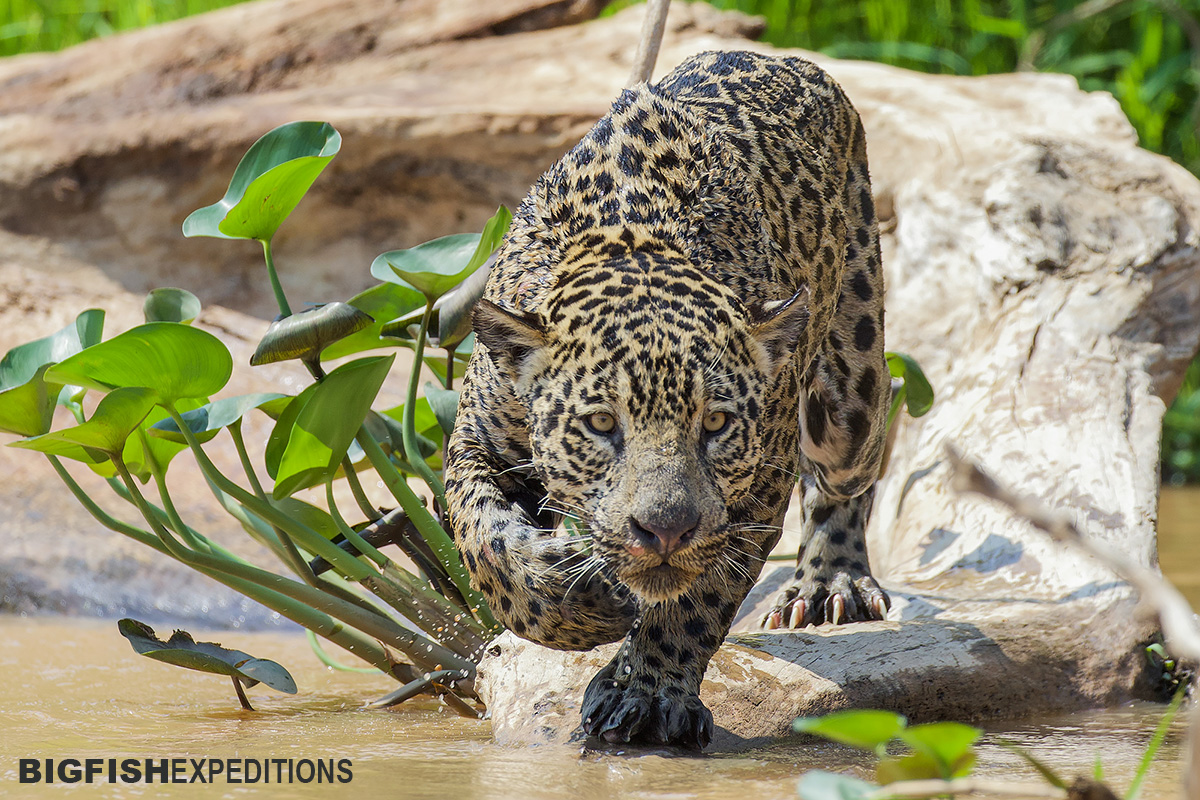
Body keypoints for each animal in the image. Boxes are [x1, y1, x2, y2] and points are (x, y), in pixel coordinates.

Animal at [444, 50, 891, 750]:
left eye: (716, 423)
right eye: (602, 423)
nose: (664, 531)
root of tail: (786, 58)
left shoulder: (757, 486)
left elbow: (693, 600)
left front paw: (646, 694)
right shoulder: (479, 444)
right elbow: (485, 541)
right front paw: (582, 600)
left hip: (848, 401)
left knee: (852, 465)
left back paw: (829, 585)